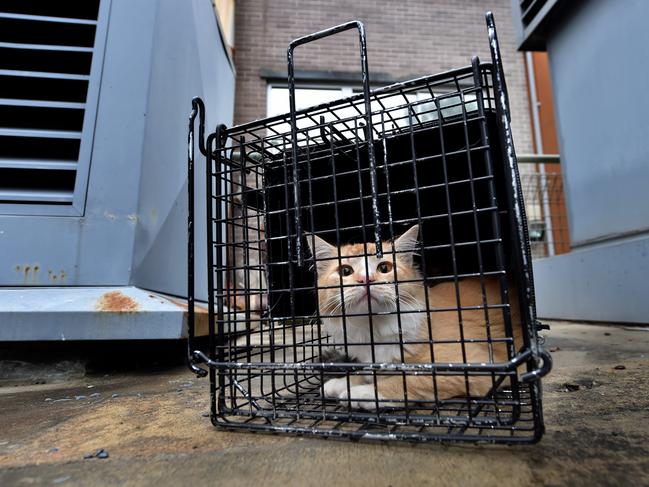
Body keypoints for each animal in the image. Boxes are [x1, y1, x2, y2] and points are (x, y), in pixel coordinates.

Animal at [306, 227, 524, 410]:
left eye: (384, 268)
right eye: (345, 271)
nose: (365, 280)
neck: (374, 328)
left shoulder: (475, 366)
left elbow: (408, 380)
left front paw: (362, 392)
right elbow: (367, 372)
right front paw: (341, 383)